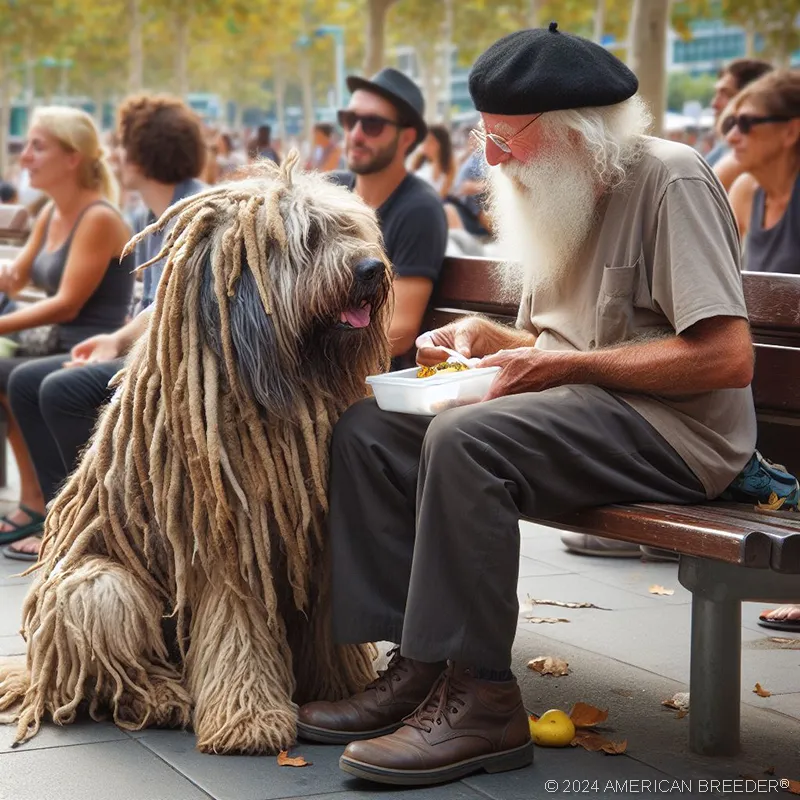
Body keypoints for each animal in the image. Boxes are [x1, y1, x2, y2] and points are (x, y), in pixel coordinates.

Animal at [0, 156, 390, 756]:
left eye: (352, 228)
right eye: (310, 237)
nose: (371, 268)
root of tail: (35, 669)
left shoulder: (316, 534)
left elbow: (328, 624)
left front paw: (343, 690)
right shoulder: (227, 544)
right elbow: (238, 634)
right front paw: (249, 720)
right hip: (95, 589)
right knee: (112, 673)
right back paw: (164, 698)